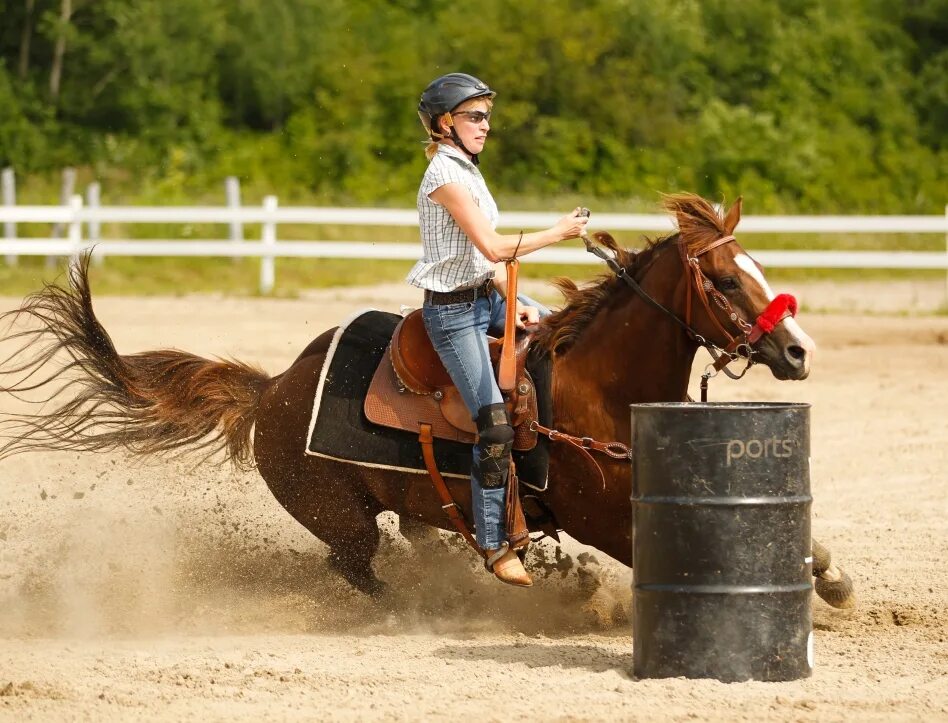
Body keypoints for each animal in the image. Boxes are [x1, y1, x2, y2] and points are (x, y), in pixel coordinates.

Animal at [0, 194, 856, 612]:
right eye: (725, 280)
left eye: (757, 267)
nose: (798, 351)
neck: (597, 390)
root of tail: (273, 389)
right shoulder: (605, 519)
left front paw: (833, 580)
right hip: (336, 513)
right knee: (358, 567)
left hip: (409, 498)